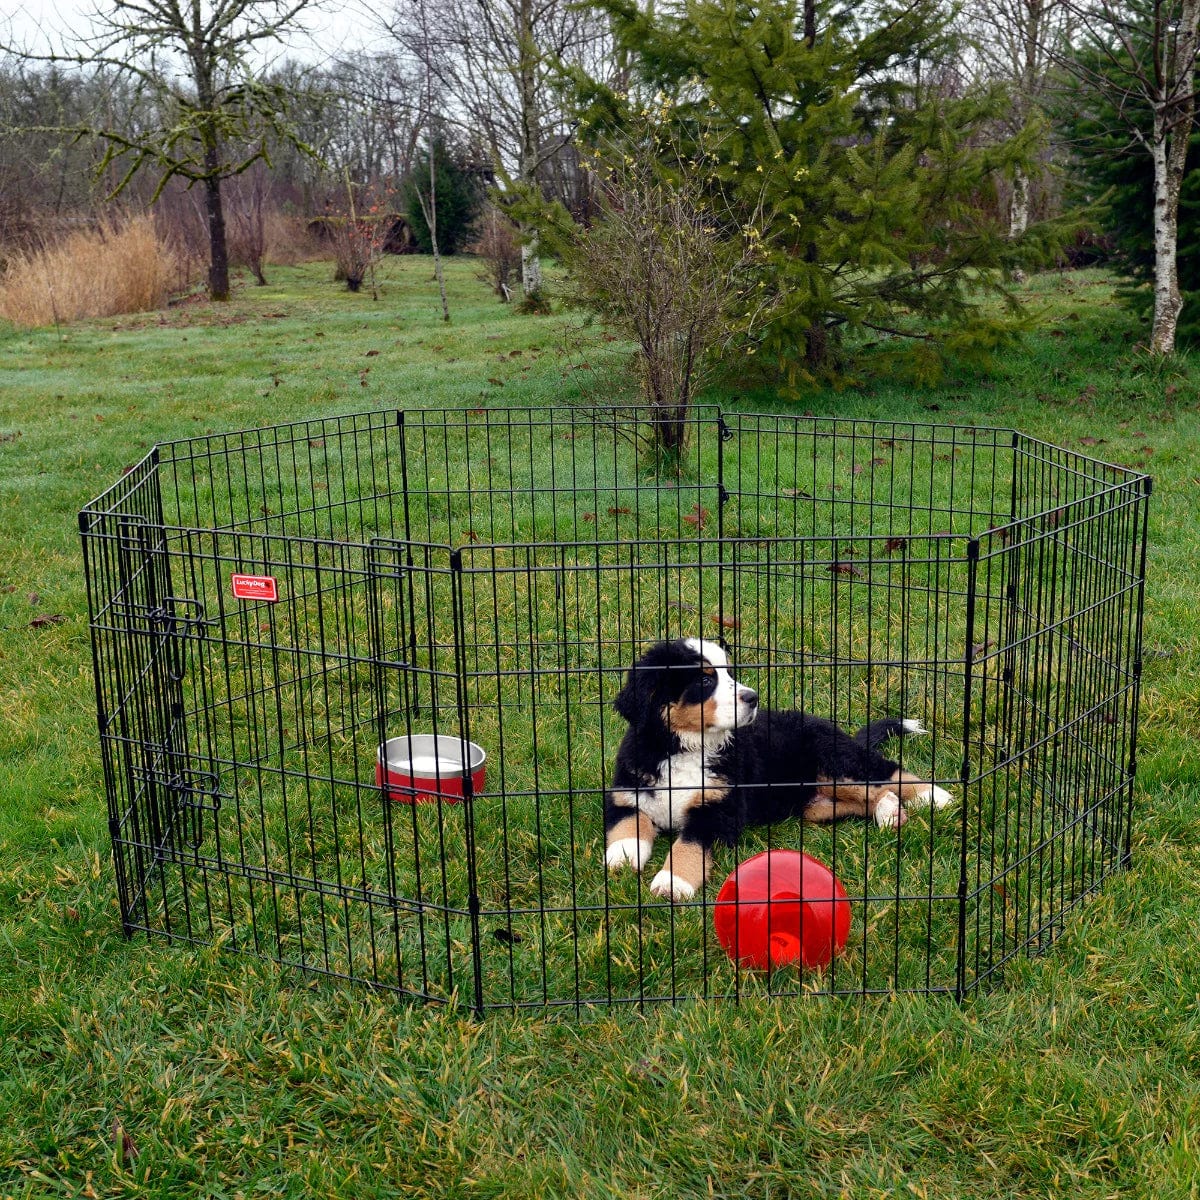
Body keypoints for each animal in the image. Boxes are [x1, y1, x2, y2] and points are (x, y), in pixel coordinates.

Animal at [604, 638, 950, 902]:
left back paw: (933, 796)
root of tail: (832, 727)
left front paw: (673, 882)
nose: (752, 697)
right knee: (868, 796)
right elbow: (626, 825)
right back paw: (891, 812)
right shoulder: (626, 795)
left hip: (834, 762)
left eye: (728, 673)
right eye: (705, 681)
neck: (684, 749)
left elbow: (688, 845)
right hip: (816, 803)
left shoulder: (718, 811)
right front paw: (622, 856)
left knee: (885, 772)